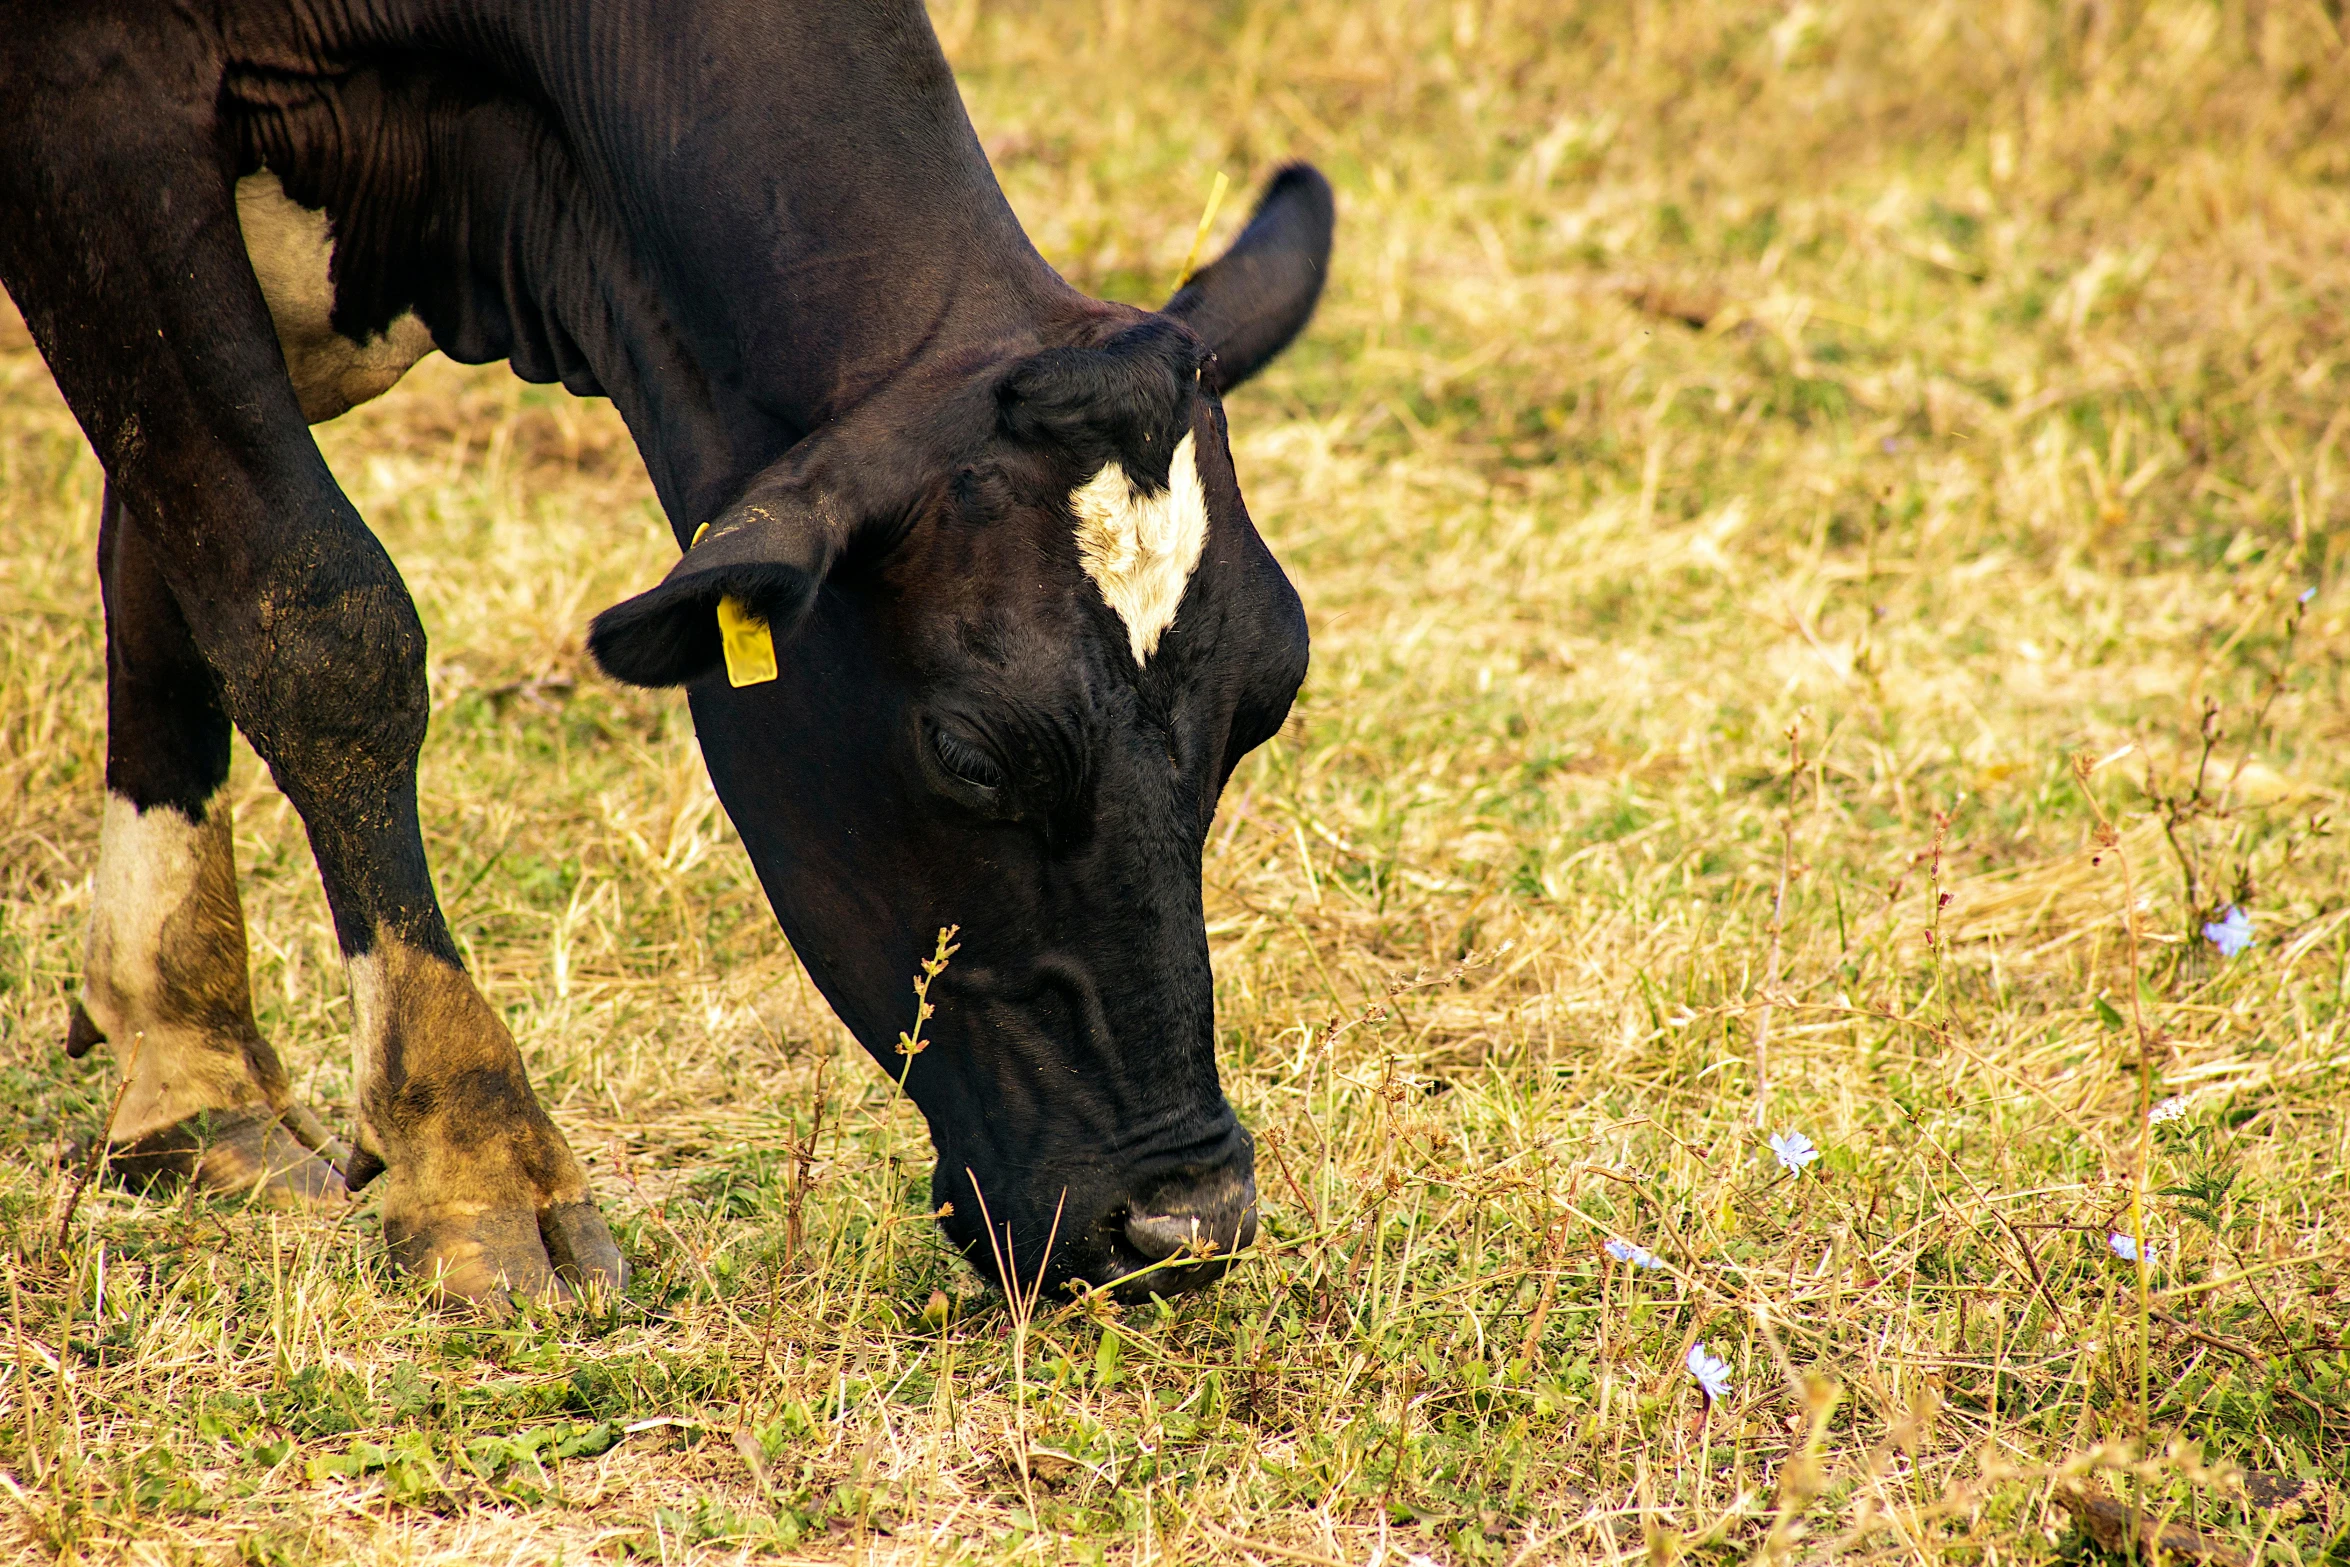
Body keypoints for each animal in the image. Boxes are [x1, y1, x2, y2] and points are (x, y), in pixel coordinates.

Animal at [0, 0, 1325, 1306]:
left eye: (1265, 703)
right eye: (973, 754)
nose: (1186, 1221)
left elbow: (166, 575)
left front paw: (188, 1069)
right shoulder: (96, 125)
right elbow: (316, 610)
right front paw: (471, 1149)